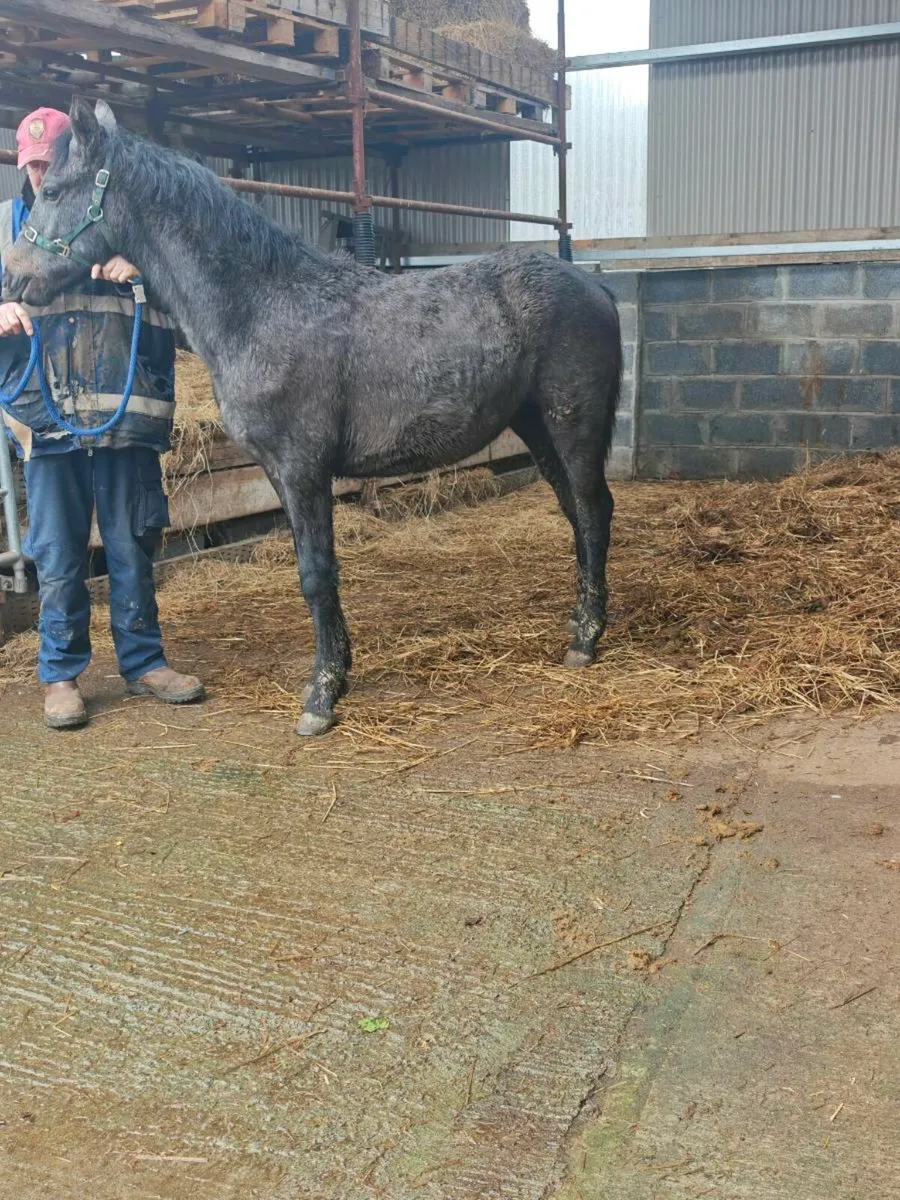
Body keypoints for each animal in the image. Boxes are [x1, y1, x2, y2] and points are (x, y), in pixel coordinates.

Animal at [5, 99, 623, 737]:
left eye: (54, 190)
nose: (14, 277)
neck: (262, 305)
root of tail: (594, 287)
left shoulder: (303, 469)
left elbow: (316, 574)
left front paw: (321, 697)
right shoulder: (282, 473)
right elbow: (316, 569)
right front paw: (338, 673)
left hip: (571, 422)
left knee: (593, 509)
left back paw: (585, 640)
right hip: (536, 425)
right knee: (576, 513)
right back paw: (580, 623)